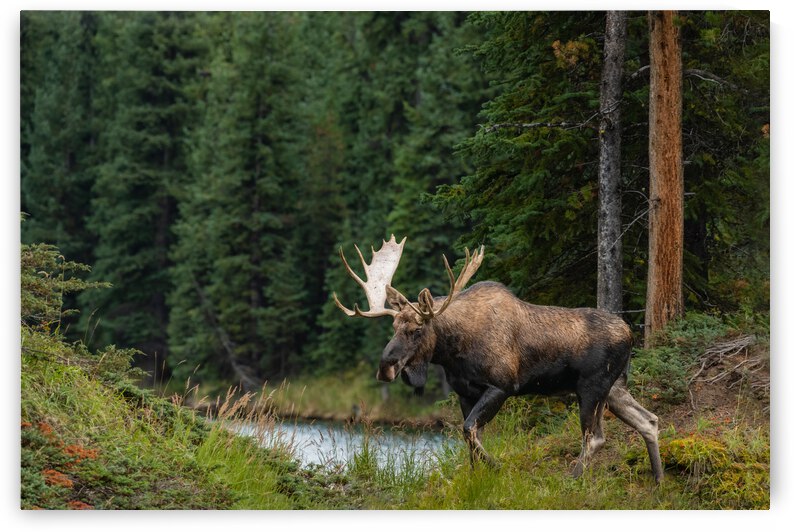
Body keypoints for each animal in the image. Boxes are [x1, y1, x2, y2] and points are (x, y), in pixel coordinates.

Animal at [333, 235, 664, 483]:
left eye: (416, 329)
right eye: (393, 328)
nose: (385, 368)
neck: (452, 351)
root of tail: (630, 333)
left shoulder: (502, 385)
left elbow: (469, 431)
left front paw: (497, 467)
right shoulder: (465, 392)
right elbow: (469, 438)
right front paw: (477, 477)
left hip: (592, 387)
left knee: (595, 437)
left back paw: (573, 477)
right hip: (615, 388)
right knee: (648, 420)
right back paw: (658, 480)